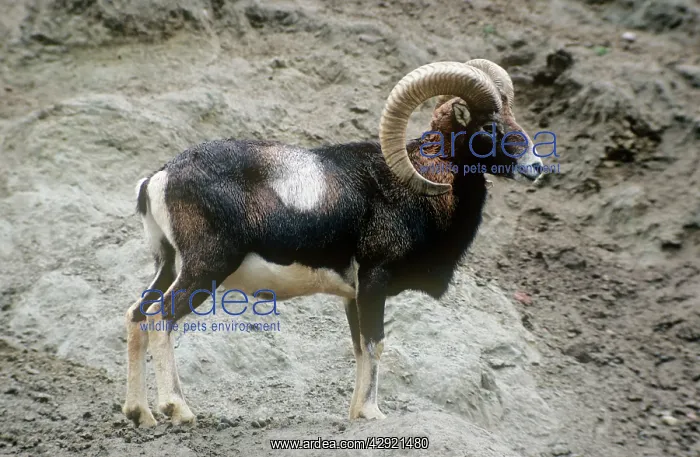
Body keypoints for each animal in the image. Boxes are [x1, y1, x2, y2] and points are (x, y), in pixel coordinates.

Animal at [122, 59, 544, 427]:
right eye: (489, 126)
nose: (536, 166)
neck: (419, 189)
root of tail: (158, 179)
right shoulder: (374, 281)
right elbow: (376, 344)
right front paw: (373, 414)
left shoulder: (352, 297)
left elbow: (359, 347)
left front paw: (357, 414)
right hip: (206, 269)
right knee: (160, 318)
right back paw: (178, 409)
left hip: (169, 266)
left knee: (137, 316)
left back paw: (140, 414)